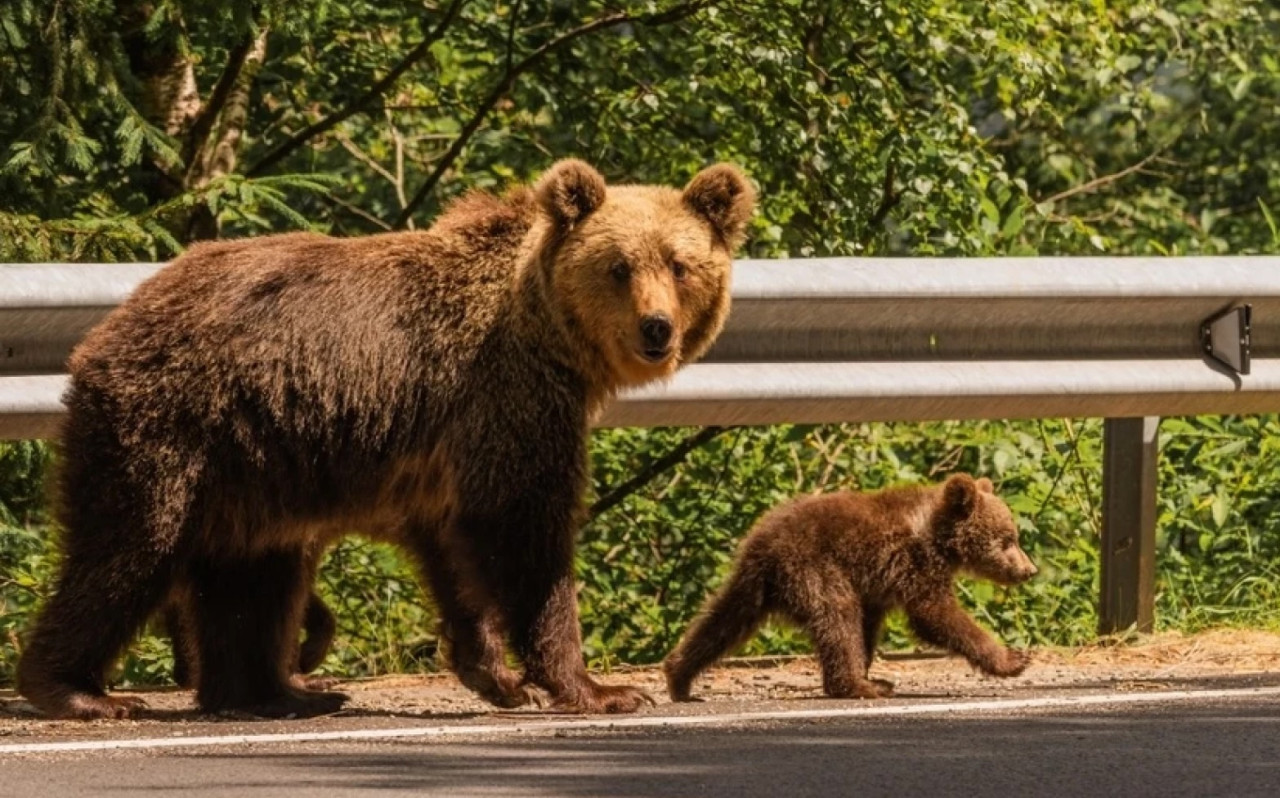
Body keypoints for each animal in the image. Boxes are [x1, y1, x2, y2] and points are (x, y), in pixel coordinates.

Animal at [17, 158, 756, 720]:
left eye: (680, 264)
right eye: (618, 267)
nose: (656, 328)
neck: (548, 334)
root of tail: (109, 326)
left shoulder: (446, 449)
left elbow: (452, 550)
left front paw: (494, 675)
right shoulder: (510, 400)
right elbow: (526, 531)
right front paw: (599, 687)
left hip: (252, 460)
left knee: (255, 574)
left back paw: (280, 692)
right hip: (171, 428)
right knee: (129, 548)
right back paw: (81, 692)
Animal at [663, 473, 1037, 702]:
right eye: (1008, 540)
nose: (1029, 570)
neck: (940, 540)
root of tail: (765, 545)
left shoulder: (878, 585)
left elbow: (871, 624)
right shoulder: (916, 565)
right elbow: (935, 615)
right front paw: (1014, 659)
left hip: (753, 583)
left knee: (722, 620)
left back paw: (680, 678)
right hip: (815, 569)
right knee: (838, 616)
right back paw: (860, 685)